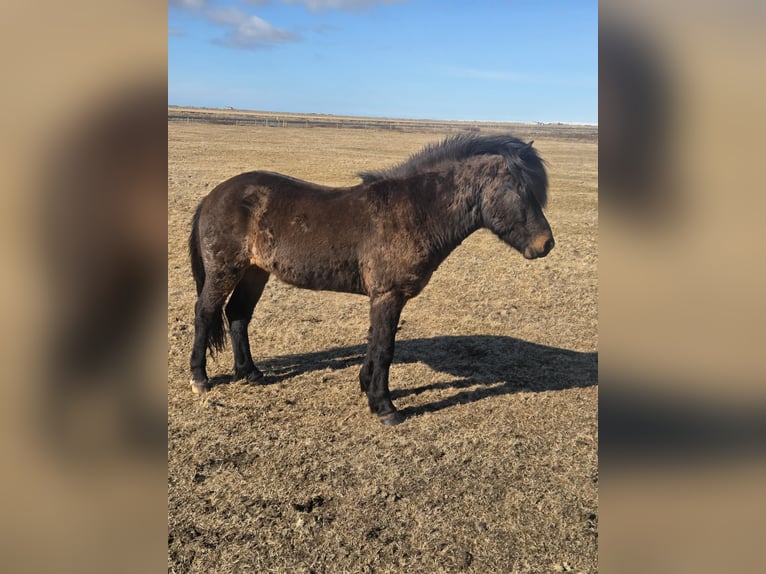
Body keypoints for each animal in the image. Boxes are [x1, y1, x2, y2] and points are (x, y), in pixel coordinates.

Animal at [188, 133, 554, 425]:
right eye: (518, 191)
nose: (546, 244)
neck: (414, 211)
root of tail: (214, 195)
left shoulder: (383, 296)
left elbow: (374, 342)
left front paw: (366, 386)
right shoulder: (388, 294)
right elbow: (384, 348)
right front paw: (384, 406)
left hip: (255, 271)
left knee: (238, 315)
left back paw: (249, 373)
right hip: (225, 270)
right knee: (206, 313)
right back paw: (200, 378)